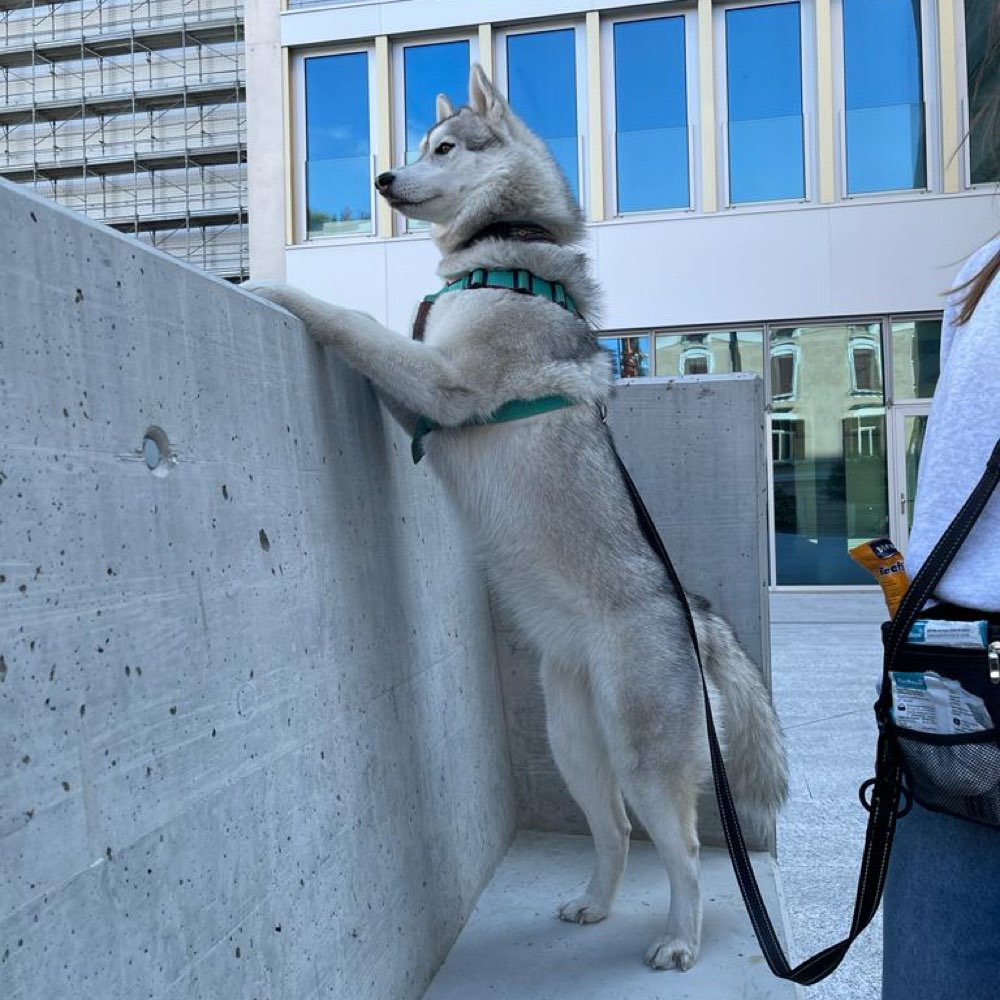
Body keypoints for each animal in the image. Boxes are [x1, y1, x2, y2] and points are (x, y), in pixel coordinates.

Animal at [246, 62, 784, 968]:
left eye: (443, 148)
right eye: (414, 147)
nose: (381, 179)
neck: (504, 256)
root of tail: (697, 613)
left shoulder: (446, 384)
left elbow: (355, 322)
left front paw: (274, 286)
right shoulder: (426, 400)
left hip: (642, 756)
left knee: (682, 854)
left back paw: (680, 940)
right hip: (574, 743)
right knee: (614, 834)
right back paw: (595, 904)